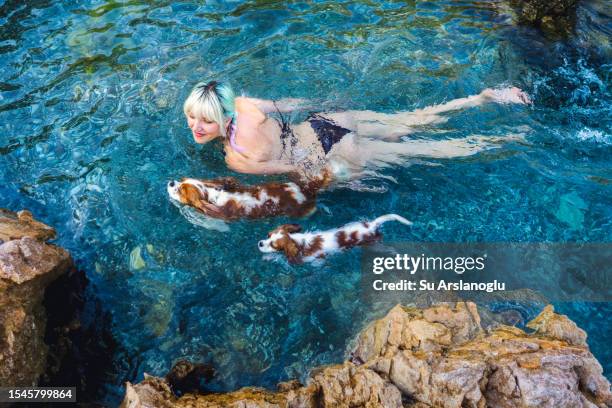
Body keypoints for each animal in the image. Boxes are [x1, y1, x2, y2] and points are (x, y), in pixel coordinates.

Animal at [260, 214, 414, 264]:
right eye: (268, 235)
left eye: (273, 244)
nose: (260, 243)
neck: (297, 241)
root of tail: (371, 225)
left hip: (372, 244)